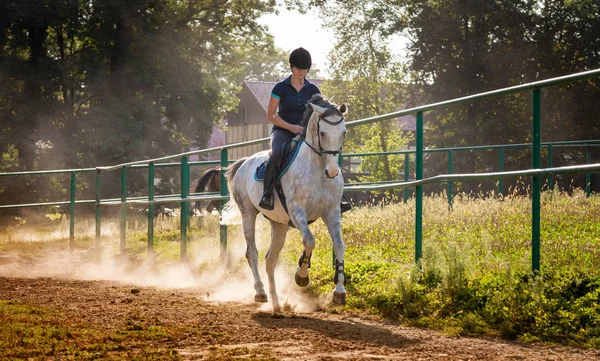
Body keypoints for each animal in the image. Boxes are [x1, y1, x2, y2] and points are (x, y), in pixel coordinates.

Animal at [223, 94, 350, 310]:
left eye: (343, 132)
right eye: (322, 133)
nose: (332, 172)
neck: (317, 169)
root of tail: (244, 162)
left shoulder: (332, 212)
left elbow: (339, 246)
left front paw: (339, 291)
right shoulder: (297, 212)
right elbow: (309, 240)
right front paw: (302, 276)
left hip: (279, 225)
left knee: (270, 260)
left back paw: (276, 303)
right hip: (248, 214)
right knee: (252, 253)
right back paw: (261, 292)